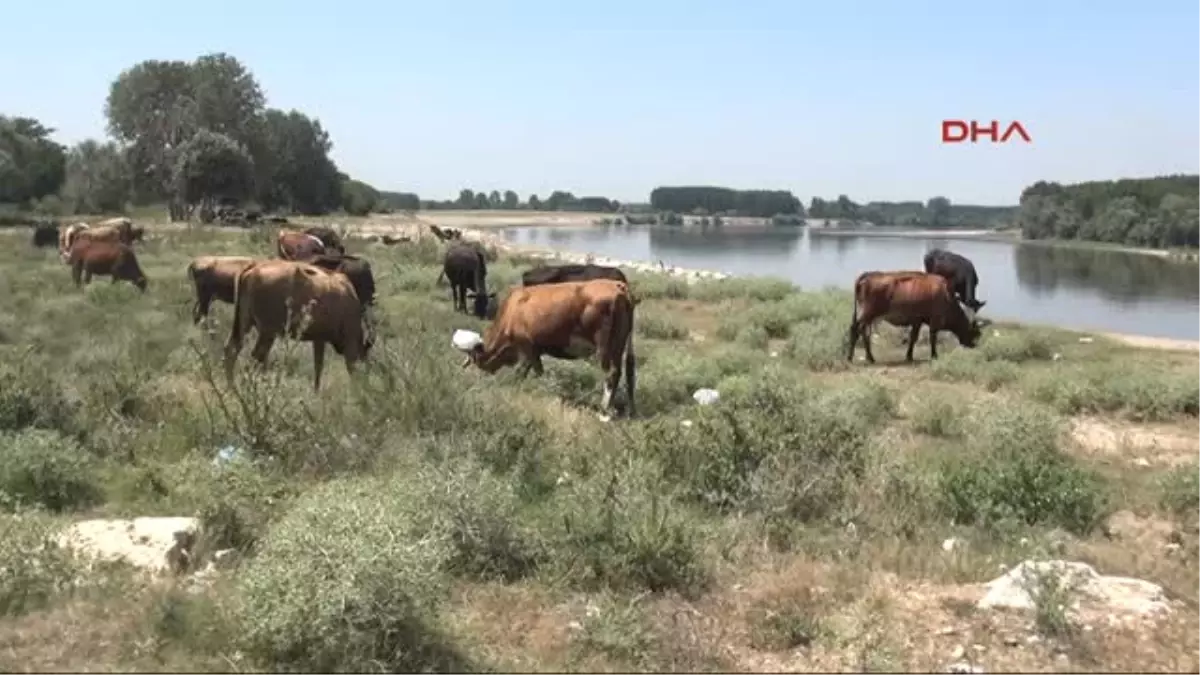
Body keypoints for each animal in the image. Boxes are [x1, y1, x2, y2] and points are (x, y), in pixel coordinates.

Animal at [224, 260, 374, 391]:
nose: (366, 384)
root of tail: (254, 268)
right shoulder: (348, 341)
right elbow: (348, 366)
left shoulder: (319, 339)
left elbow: (318, 367)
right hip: (267, 333)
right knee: (256, 357)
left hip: (245, 324)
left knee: (232, 350)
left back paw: (232, 388)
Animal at [458, 277, 638, 415]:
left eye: (476, 362)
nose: (476, 379)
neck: (511, 310)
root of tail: (618, 285)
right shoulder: (535, 350)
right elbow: (532, 371)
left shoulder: (527, 346)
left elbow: (525, 372)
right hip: (619, 345)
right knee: (623, 374)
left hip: (605, 347)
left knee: (611, 373)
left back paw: (603, 409)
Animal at [844, 267, 984, 362]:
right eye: (976, 333)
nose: (974, 345)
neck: (946, 295)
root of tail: (868, 275)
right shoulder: (934, 320)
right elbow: (932, 337)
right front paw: (934, 355)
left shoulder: (917, 320)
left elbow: (913, 338)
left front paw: (909, 356)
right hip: (868, 313)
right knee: (856, 329)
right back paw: (850, 357)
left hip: (868, 316)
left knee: (863, 332)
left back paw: (870, 357)